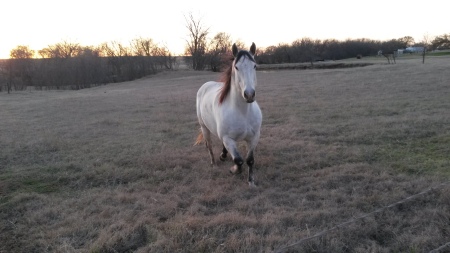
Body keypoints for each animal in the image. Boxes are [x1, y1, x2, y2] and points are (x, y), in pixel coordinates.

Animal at [195, 42, 262, 187]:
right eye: (236, 67)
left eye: (254, 66)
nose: (249, 94)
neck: (243, 112)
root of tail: (206, 85)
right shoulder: (228, 139)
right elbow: (239, 160)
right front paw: (233, 170)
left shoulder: (254, 137)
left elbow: (249, 160)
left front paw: (251, 182)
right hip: (204, 128)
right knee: (209, 145)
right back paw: (214, 163)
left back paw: (223, 156)